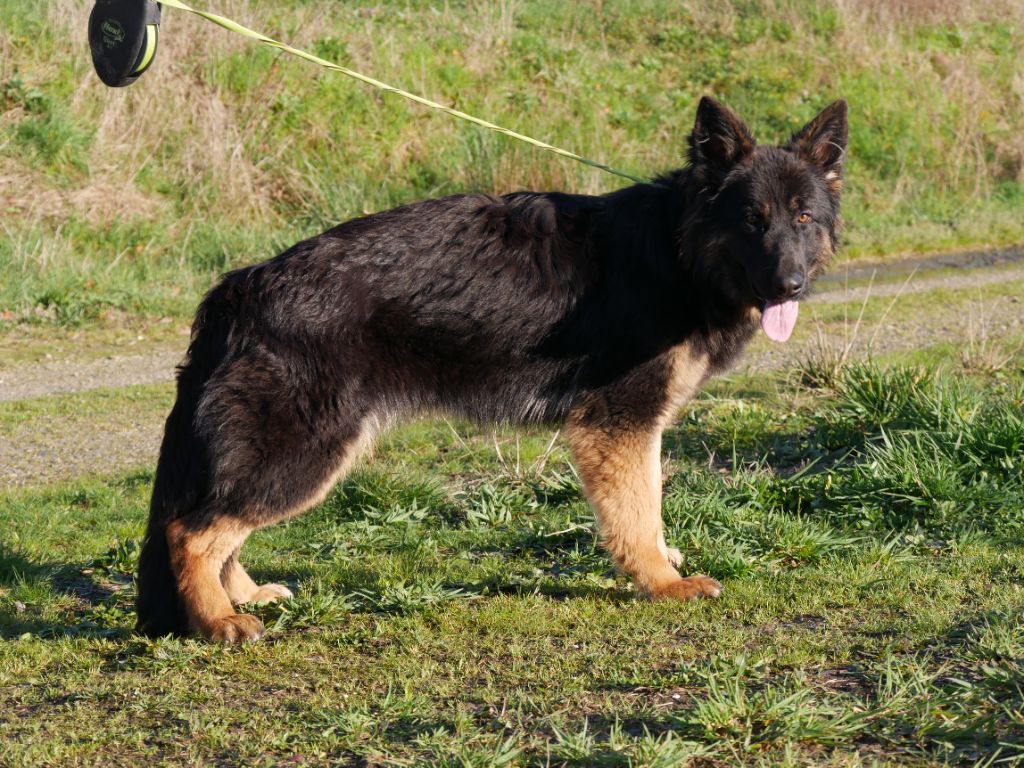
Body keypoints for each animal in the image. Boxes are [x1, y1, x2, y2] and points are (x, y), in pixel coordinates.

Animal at [136, 97, 847, 643]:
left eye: (803, 218)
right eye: (752, 220)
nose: (791, 286)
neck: (678, 251)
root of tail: (240, 287)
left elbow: (649, 506)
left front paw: (663, 565)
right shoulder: (619, 424)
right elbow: (639, 512)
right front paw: (662, 582)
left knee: (222, 523)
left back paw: (243, 596)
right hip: (305, 453)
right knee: (189, 530)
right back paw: (218, 621)